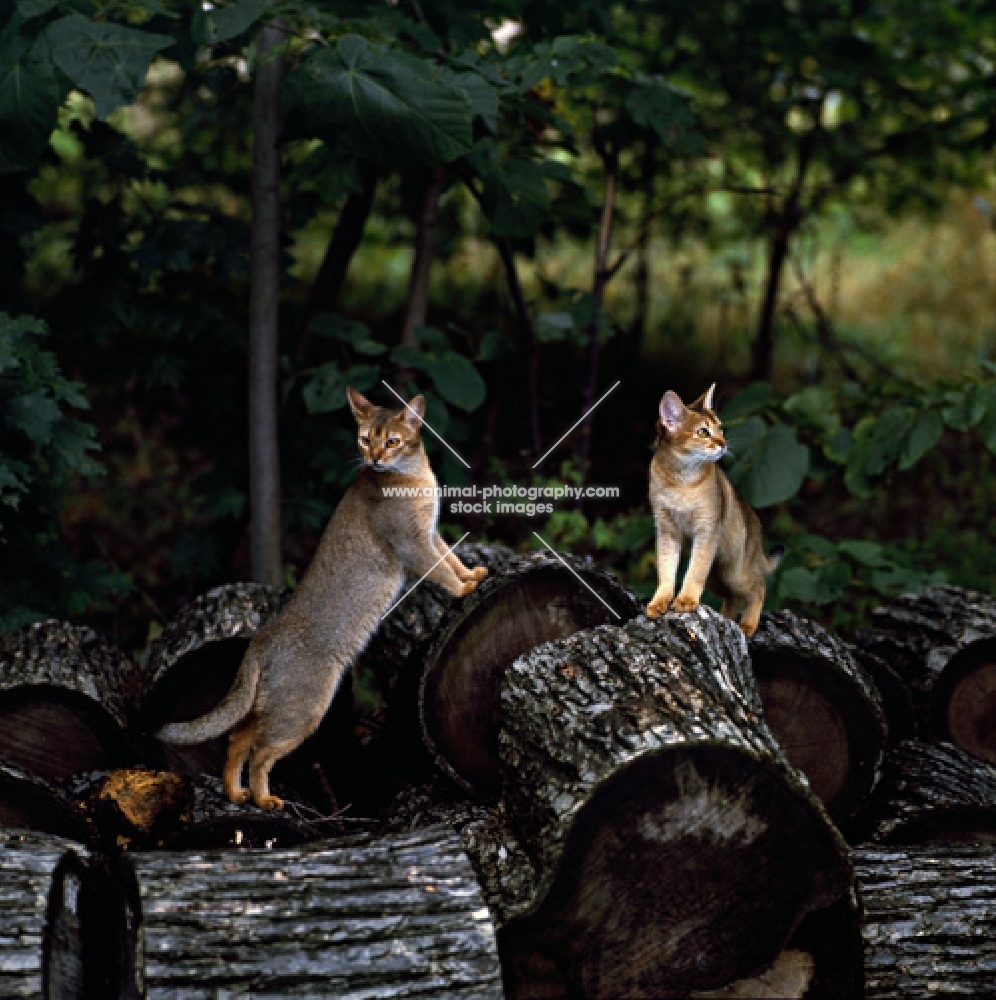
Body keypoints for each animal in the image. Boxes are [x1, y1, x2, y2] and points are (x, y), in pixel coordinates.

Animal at [154, 386, 484, 808]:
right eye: (365, 439)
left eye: (392, 441)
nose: (374, 459)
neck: (413, 475)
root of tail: (260, 642)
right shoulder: (412, 544)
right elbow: (441, 568)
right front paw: (464, 588)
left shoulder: (429, 534)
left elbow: (451, 558)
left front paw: (473, 575)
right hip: (306, 708)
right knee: (261, 752)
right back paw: (264, 798)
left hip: (275, 705)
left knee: (238, 737)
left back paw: (236, 792)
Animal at [648, 386, 784, 636]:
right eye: (703, 432)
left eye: (720, 427)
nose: (724, 443)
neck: (681, 480)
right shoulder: (667, 530)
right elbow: (666, 569)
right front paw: (659, 602)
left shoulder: (707, 530)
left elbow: (694, 571)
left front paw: (686, 601)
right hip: (717, 577)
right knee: (733, 597)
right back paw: (727, 620)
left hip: (735, 572)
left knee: (758, 587)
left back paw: (747, 625)